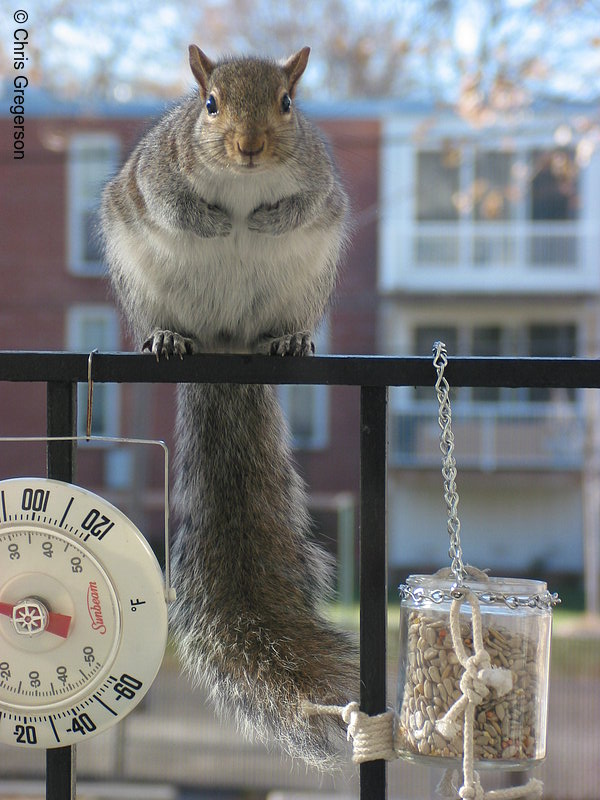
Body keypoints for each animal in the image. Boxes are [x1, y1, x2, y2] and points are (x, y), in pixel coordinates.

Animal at [101, 43, 358, 768]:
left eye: (288, 104)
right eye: (209, 104)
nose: (249, 147)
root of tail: (225, 342)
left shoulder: (319, 183)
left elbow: (303, 203)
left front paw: (265, 218)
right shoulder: (156, 173)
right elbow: (173, 203)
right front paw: (215, 220)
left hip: (307, 281)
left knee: (285, 322)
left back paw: (289, 338)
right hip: (139, 274)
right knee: (164, 318)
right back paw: (166, 336)